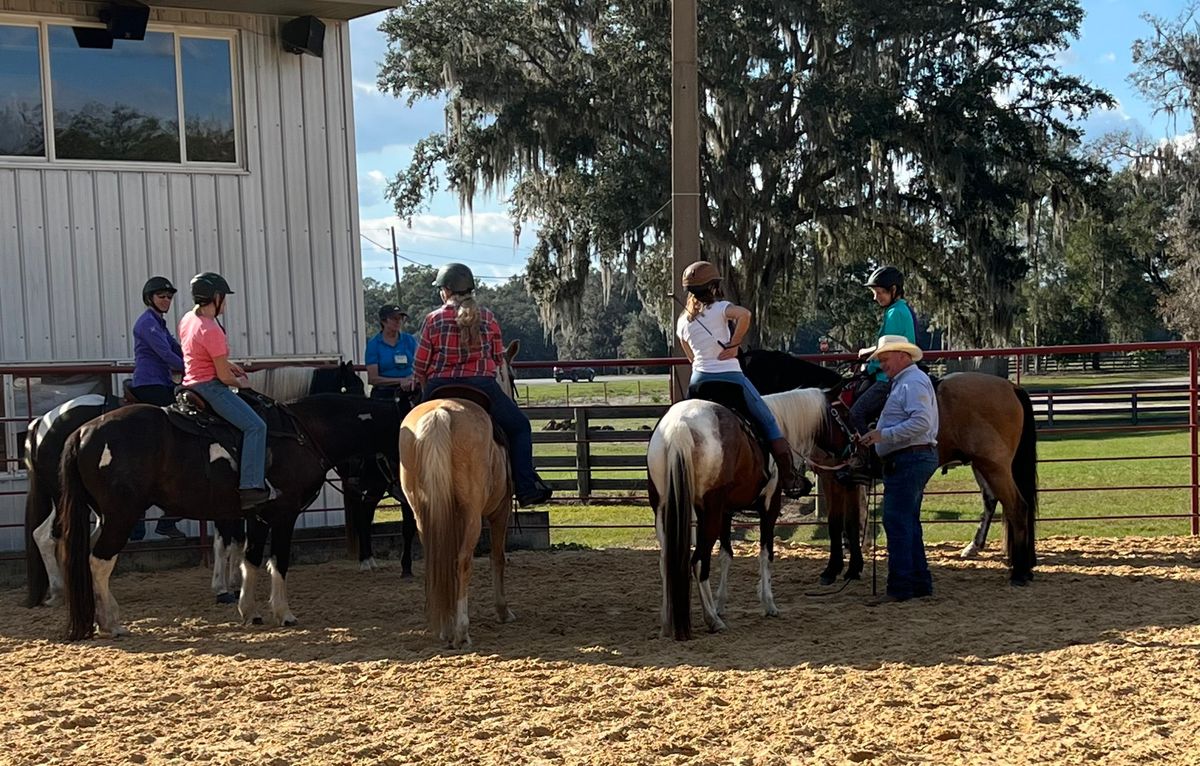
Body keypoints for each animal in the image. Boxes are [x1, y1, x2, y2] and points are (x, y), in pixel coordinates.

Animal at [22, 362, 360, 609]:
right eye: (351, 387)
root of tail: (43, 422)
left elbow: (231, 542)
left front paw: (231, 584)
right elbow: (228, 541)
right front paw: (224, 588)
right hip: (66, 498)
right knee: (48, 536)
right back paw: (61, 590)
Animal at [58, 393, 403, 638]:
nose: (365, 490)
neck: (303, 434)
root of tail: (83, 433)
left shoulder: (258, 516)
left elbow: (250, 560)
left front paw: (250, 612)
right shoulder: (284, 514)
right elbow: (279, 560)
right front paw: (284, 614)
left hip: (104, 517)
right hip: (121, 516)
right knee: (99, 562)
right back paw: (112, 623)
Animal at [398, 340, 520, 648]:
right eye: (511, 376)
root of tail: (440, 413)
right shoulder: (500, 512)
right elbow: (498, 557)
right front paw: (503, 610)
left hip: (423, 513)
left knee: (438, 561)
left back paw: (445, 627)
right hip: (473, 514)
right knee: (463, 560)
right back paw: (462, 631)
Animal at [652, 389, 830, 643]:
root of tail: (680, 426)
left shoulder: (726, 512)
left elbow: (726, 555)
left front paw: (721, 604)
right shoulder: (770, 506)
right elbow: (766, 553)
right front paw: (768, 603)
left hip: (664, 509)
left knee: (666, 561)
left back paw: (668, 623)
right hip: (709, 513)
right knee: (698, 561)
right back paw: (712, 621)